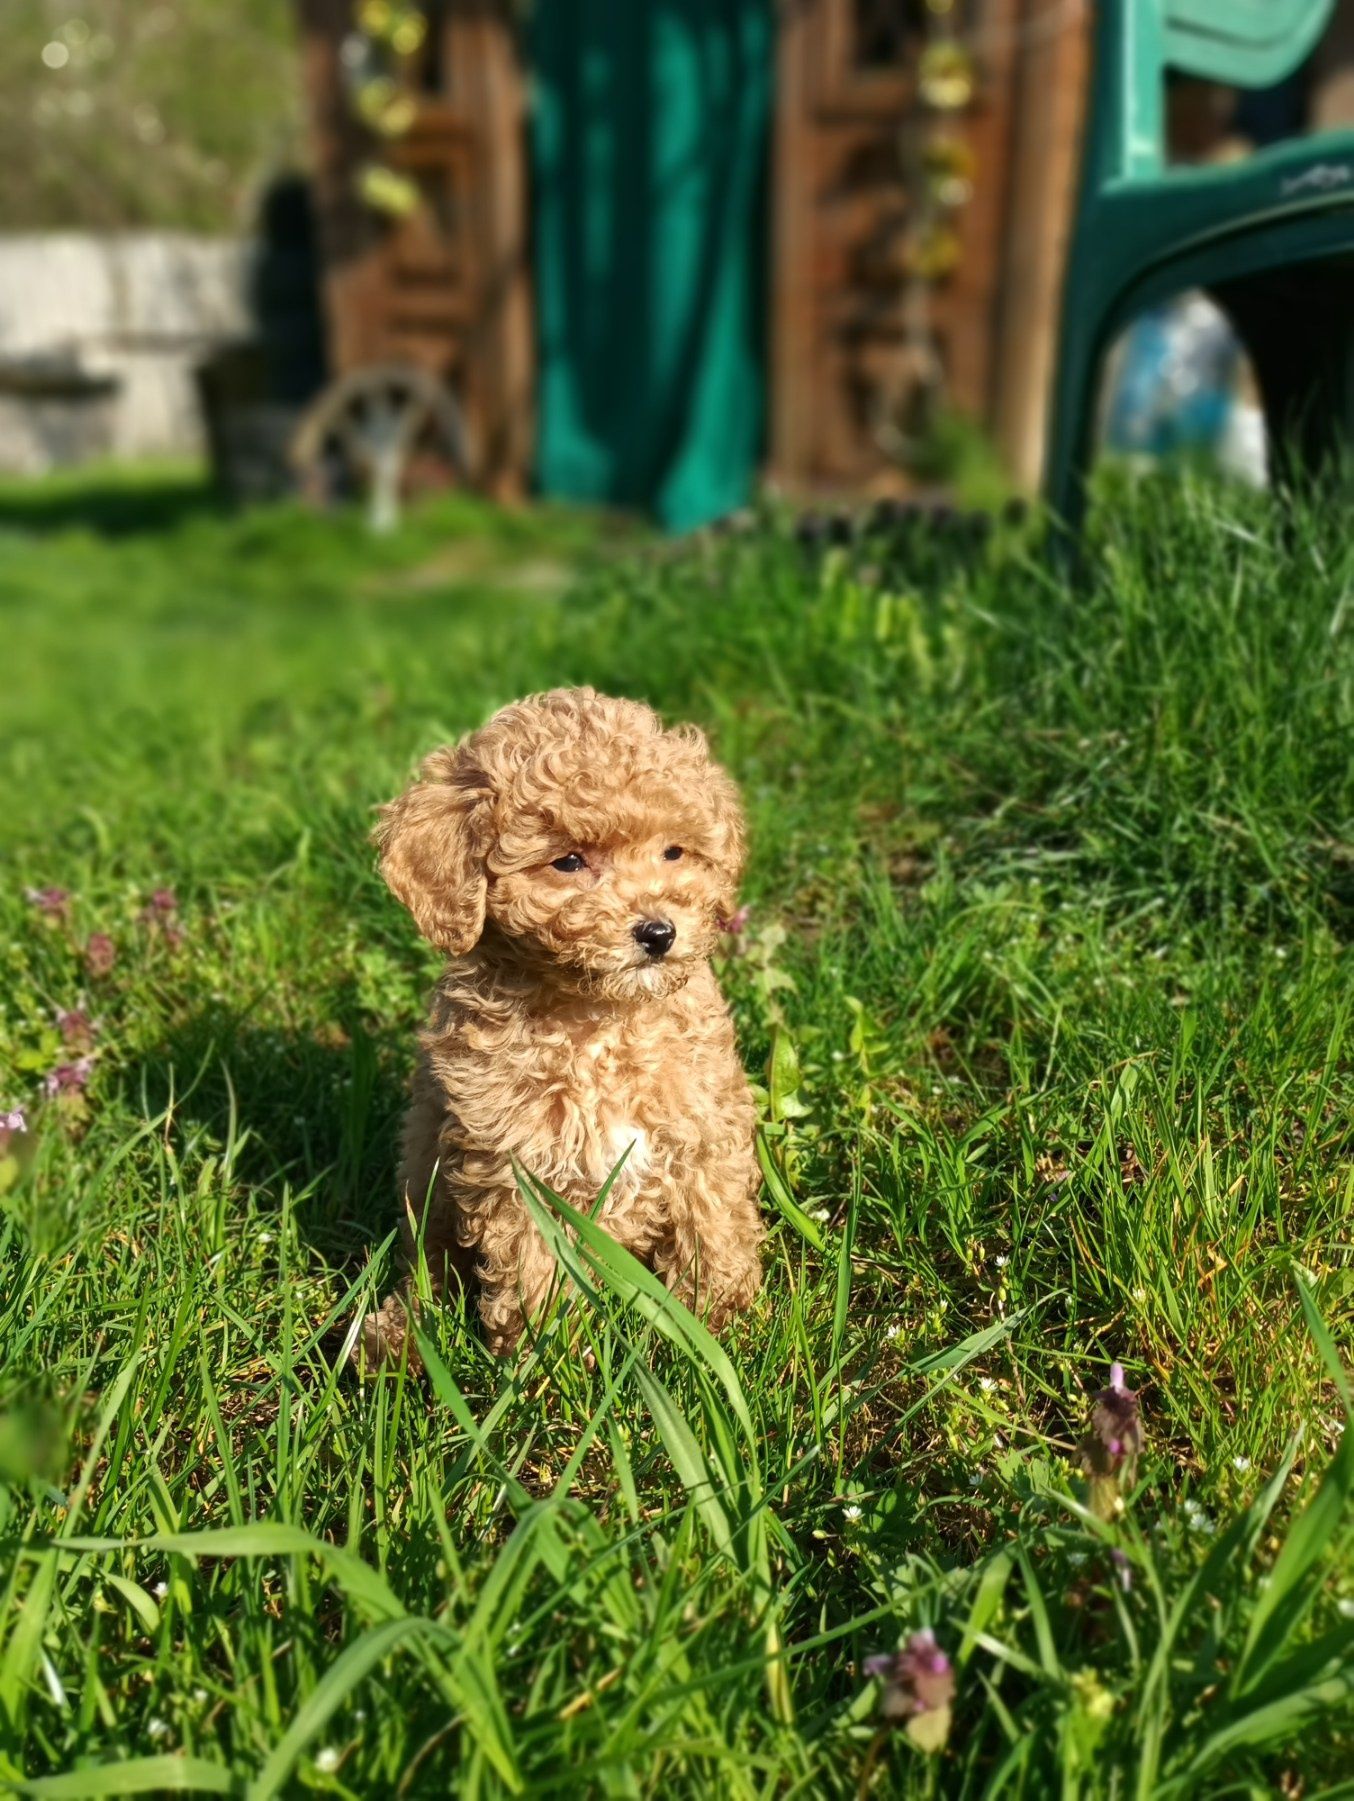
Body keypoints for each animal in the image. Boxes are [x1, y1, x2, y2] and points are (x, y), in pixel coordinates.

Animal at [356, 680, 763, 1354]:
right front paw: (547, 1354)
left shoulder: (702, 1126)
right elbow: (533, 1267)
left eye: (674, 852)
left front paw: (715, 1323)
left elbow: (712, 1223)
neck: (601, 1021)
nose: (659, 932)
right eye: (568, 862)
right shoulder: (515, 1165)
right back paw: (397, 1339)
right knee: (429, 1263)